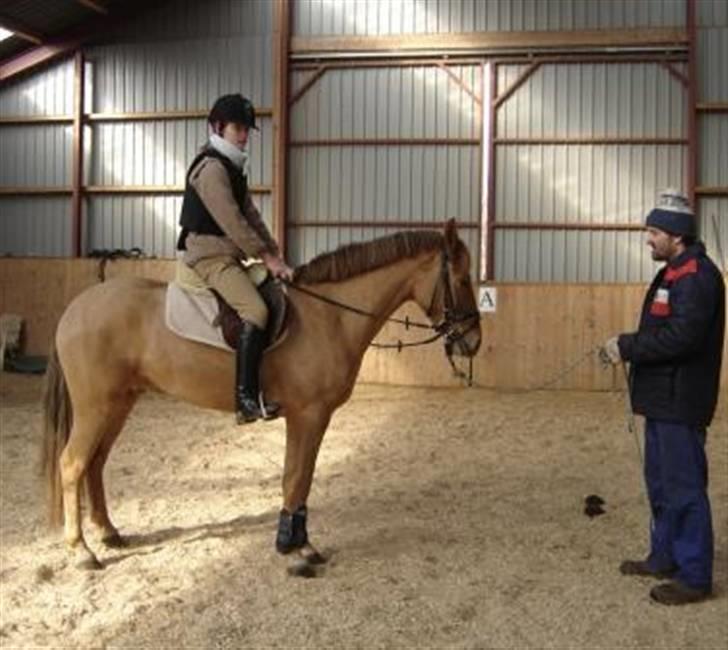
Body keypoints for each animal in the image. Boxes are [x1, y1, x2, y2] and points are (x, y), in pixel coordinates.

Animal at [42, 220, 480, 568]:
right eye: (461, 280)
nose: (473, 342)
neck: (329, 316)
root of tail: (74, 309)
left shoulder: (310, 417)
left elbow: (300, 477)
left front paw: (295, 542)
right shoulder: (309, 414)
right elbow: (296, 477)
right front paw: (296, 548)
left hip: (119, 403)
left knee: (95, 463)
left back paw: (108, 532)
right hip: (96, 407)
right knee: (72, 463)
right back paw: (81, 550)